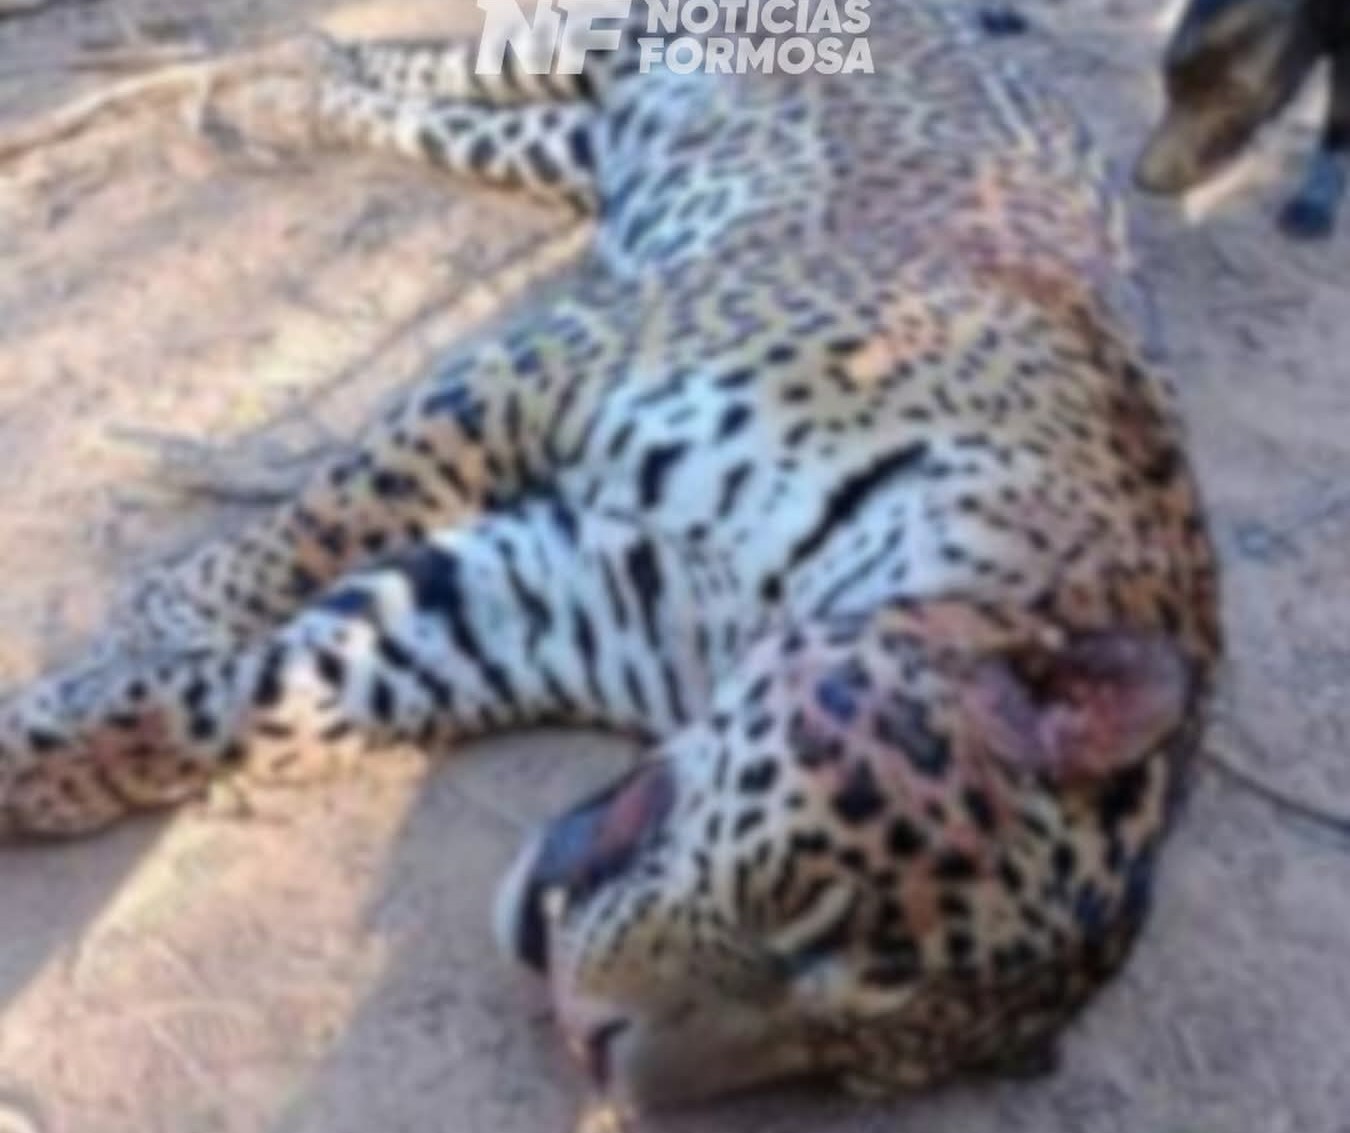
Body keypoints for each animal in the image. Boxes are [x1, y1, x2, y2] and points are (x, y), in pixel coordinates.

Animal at [0, 0, 1221, 1118]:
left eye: (838, 1069)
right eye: (813, 911)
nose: (593, 1051)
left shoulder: (531, 598)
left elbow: (269, 691)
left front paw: (49, 751)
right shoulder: (543, 375)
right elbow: (324, 523)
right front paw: (159, 618)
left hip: (566, 139)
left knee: (411, 92)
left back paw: (279, 96)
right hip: (602, 42)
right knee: (428, 57)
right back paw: (244, 87)